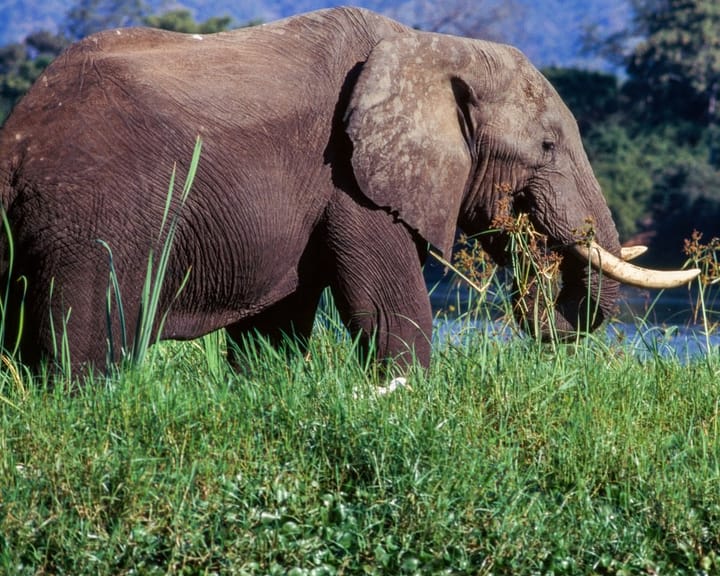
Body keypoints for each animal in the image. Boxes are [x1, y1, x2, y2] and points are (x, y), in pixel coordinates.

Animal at [0, 7, 698, 376]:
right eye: (548, 147)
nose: (536, 254)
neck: (430, 47)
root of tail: (14, 138)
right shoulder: (350, 180)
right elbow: (390, 312)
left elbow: (276, 327)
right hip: (91, 222)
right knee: (84, 346)